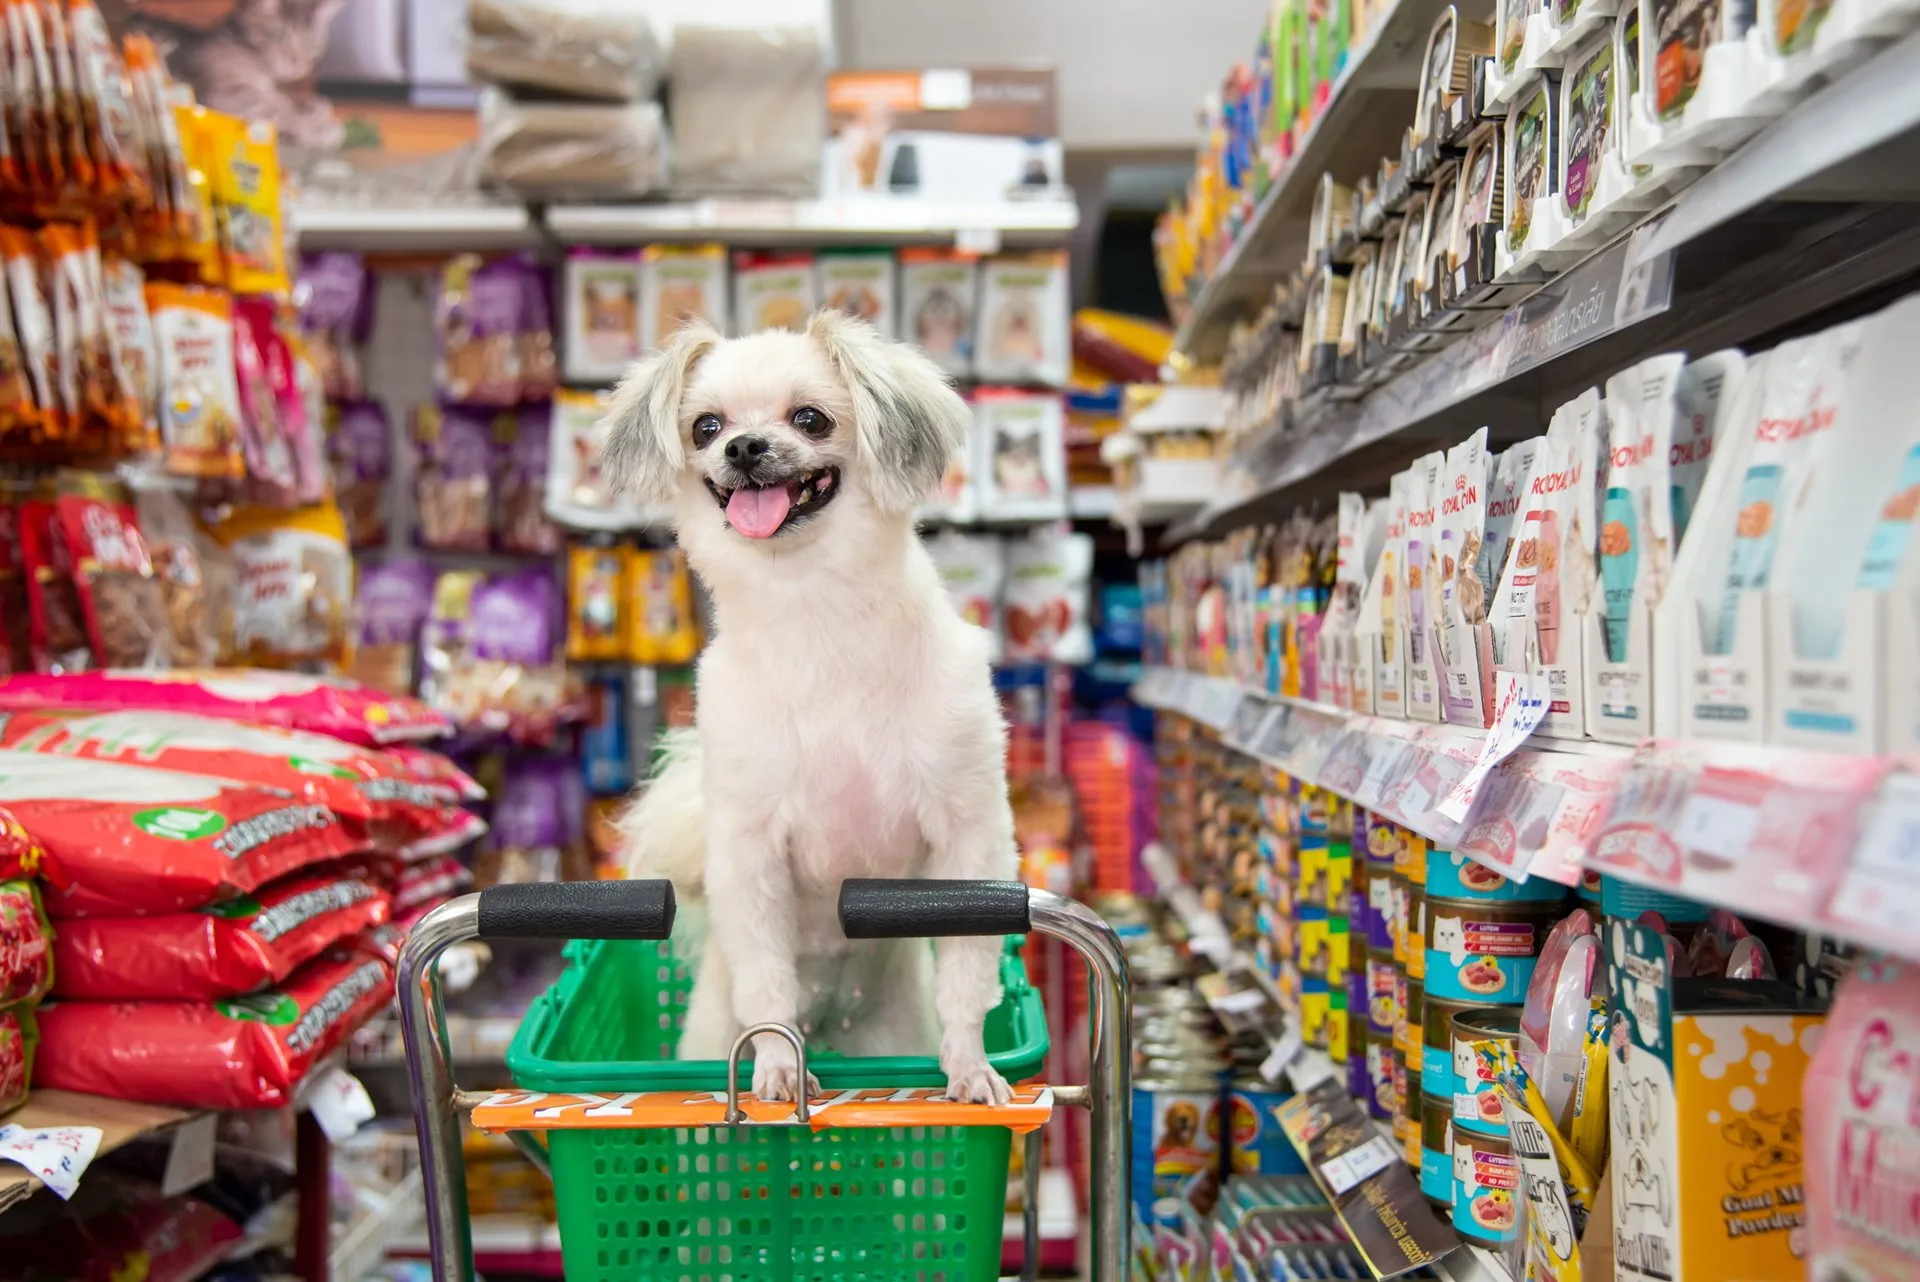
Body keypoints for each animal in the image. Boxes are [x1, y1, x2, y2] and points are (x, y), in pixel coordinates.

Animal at [602, 307, 1021, 1105]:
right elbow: (768, 980)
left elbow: (966, 970)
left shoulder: (969, 839)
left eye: (811, 418)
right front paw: (774, 1068)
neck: (814, 614)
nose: (743, 446)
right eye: (705, 426)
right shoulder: (750, 855)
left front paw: (969, 1064)